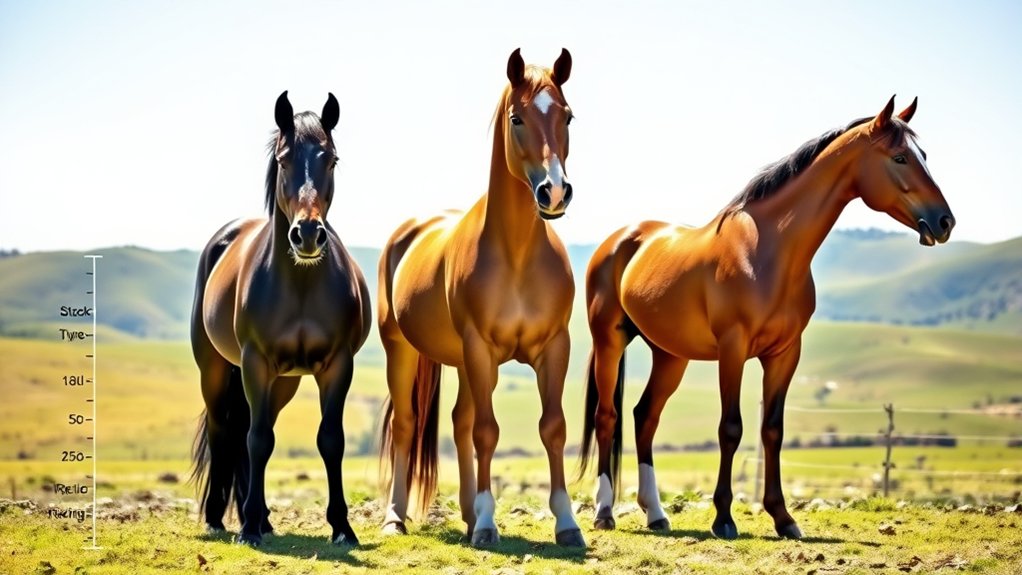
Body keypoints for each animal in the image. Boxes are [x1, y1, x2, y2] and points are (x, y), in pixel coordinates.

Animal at [189, 91, 371, 546]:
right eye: (283, 159)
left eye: (332, 160)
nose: (307, 235)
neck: (300, 287)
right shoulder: (255, 361)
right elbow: (256, 441)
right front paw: (249, 527)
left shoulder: (337, 365)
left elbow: (331, 440)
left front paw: (342, 527)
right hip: (215, 370)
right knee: (224, 431)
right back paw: (219, 517)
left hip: (283, 382)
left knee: (251, 428)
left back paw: (261, 517)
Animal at [376, 48, 585, 548]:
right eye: (516, 118)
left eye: (568, 116)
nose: (555, 191)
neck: (517, 255)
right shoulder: (481, 348)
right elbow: (488, 432)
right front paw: (490, 523)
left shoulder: (554, 347)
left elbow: (552, 427)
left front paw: (567, 523)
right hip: (403, 349)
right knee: (407, 424)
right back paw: (397, 517)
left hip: (463, 362)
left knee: (459, 422)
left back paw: (470, 516)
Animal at [578, 96, 955, 540]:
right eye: (899, 157)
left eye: (923, 155)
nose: (944, 221)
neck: (768, 251)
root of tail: (621, 238)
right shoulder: (733, 349)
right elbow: (731, 428)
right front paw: (724, 518)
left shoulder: (785, 353)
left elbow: (772, 430)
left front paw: (783, 517)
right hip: (610, 341)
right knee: (607, 416)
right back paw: (604, 512)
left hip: (670, 355)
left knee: (644, 417)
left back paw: (655, 513)